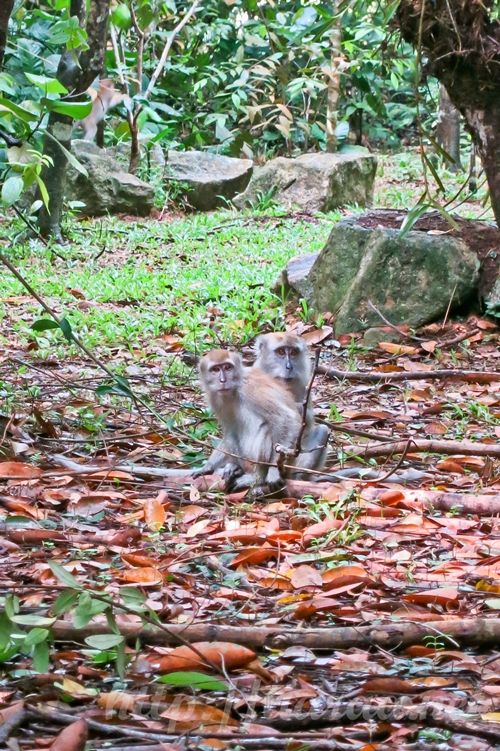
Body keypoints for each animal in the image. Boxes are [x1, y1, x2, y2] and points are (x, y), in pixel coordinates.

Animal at [191, 352, 300, 496]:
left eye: (227, 367)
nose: (222, 380)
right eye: (215, 369)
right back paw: (235, 468)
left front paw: (273, 472)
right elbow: (229, 429)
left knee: (266, 429)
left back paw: (257, 477)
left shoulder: (250, 388)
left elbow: (284, 418)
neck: (234, 388)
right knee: (233, 434)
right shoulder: (214, 398)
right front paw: (207, 467)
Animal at [252, 328, 330, 476]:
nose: (289, 367)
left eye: (293, 353)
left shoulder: (303, 384)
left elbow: (307, 420)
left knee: (323, 430)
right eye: (281, 352)